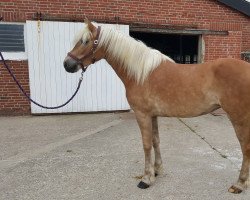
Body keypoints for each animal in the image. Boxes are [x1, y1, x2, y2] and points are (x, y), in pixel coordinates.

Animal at [64, 20, 250, 194]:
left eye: (85, 41)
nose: (67, 64)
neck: (141, 74)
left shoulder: (142, 114)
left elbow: (146, 144)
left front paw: (146, 179)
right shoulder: (152, 115)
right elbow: (155, 141)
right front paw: (158, 170)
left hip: (239, 118)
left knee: (245, 147)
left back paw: (239, 184)